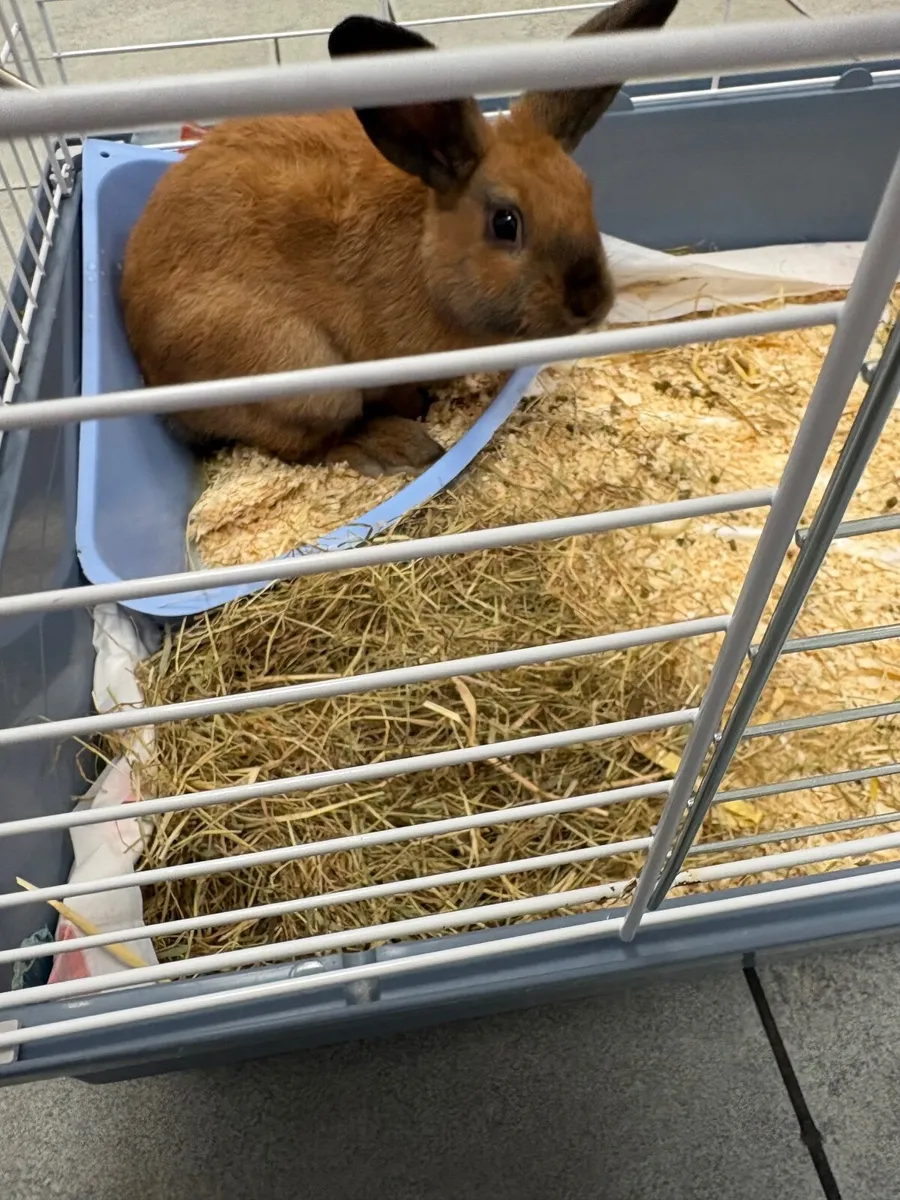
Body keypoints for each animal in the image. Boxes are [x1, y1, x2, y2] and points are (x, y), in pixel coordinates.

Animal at [120, 0, 679, 477]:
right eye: (505, 223)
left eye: (585, 191)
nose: (590, 301)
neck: (427, 256)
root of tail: (154, 375)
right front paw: (414, 414)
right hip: (300, 375)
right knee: (306, 445)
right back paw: (398, 447)